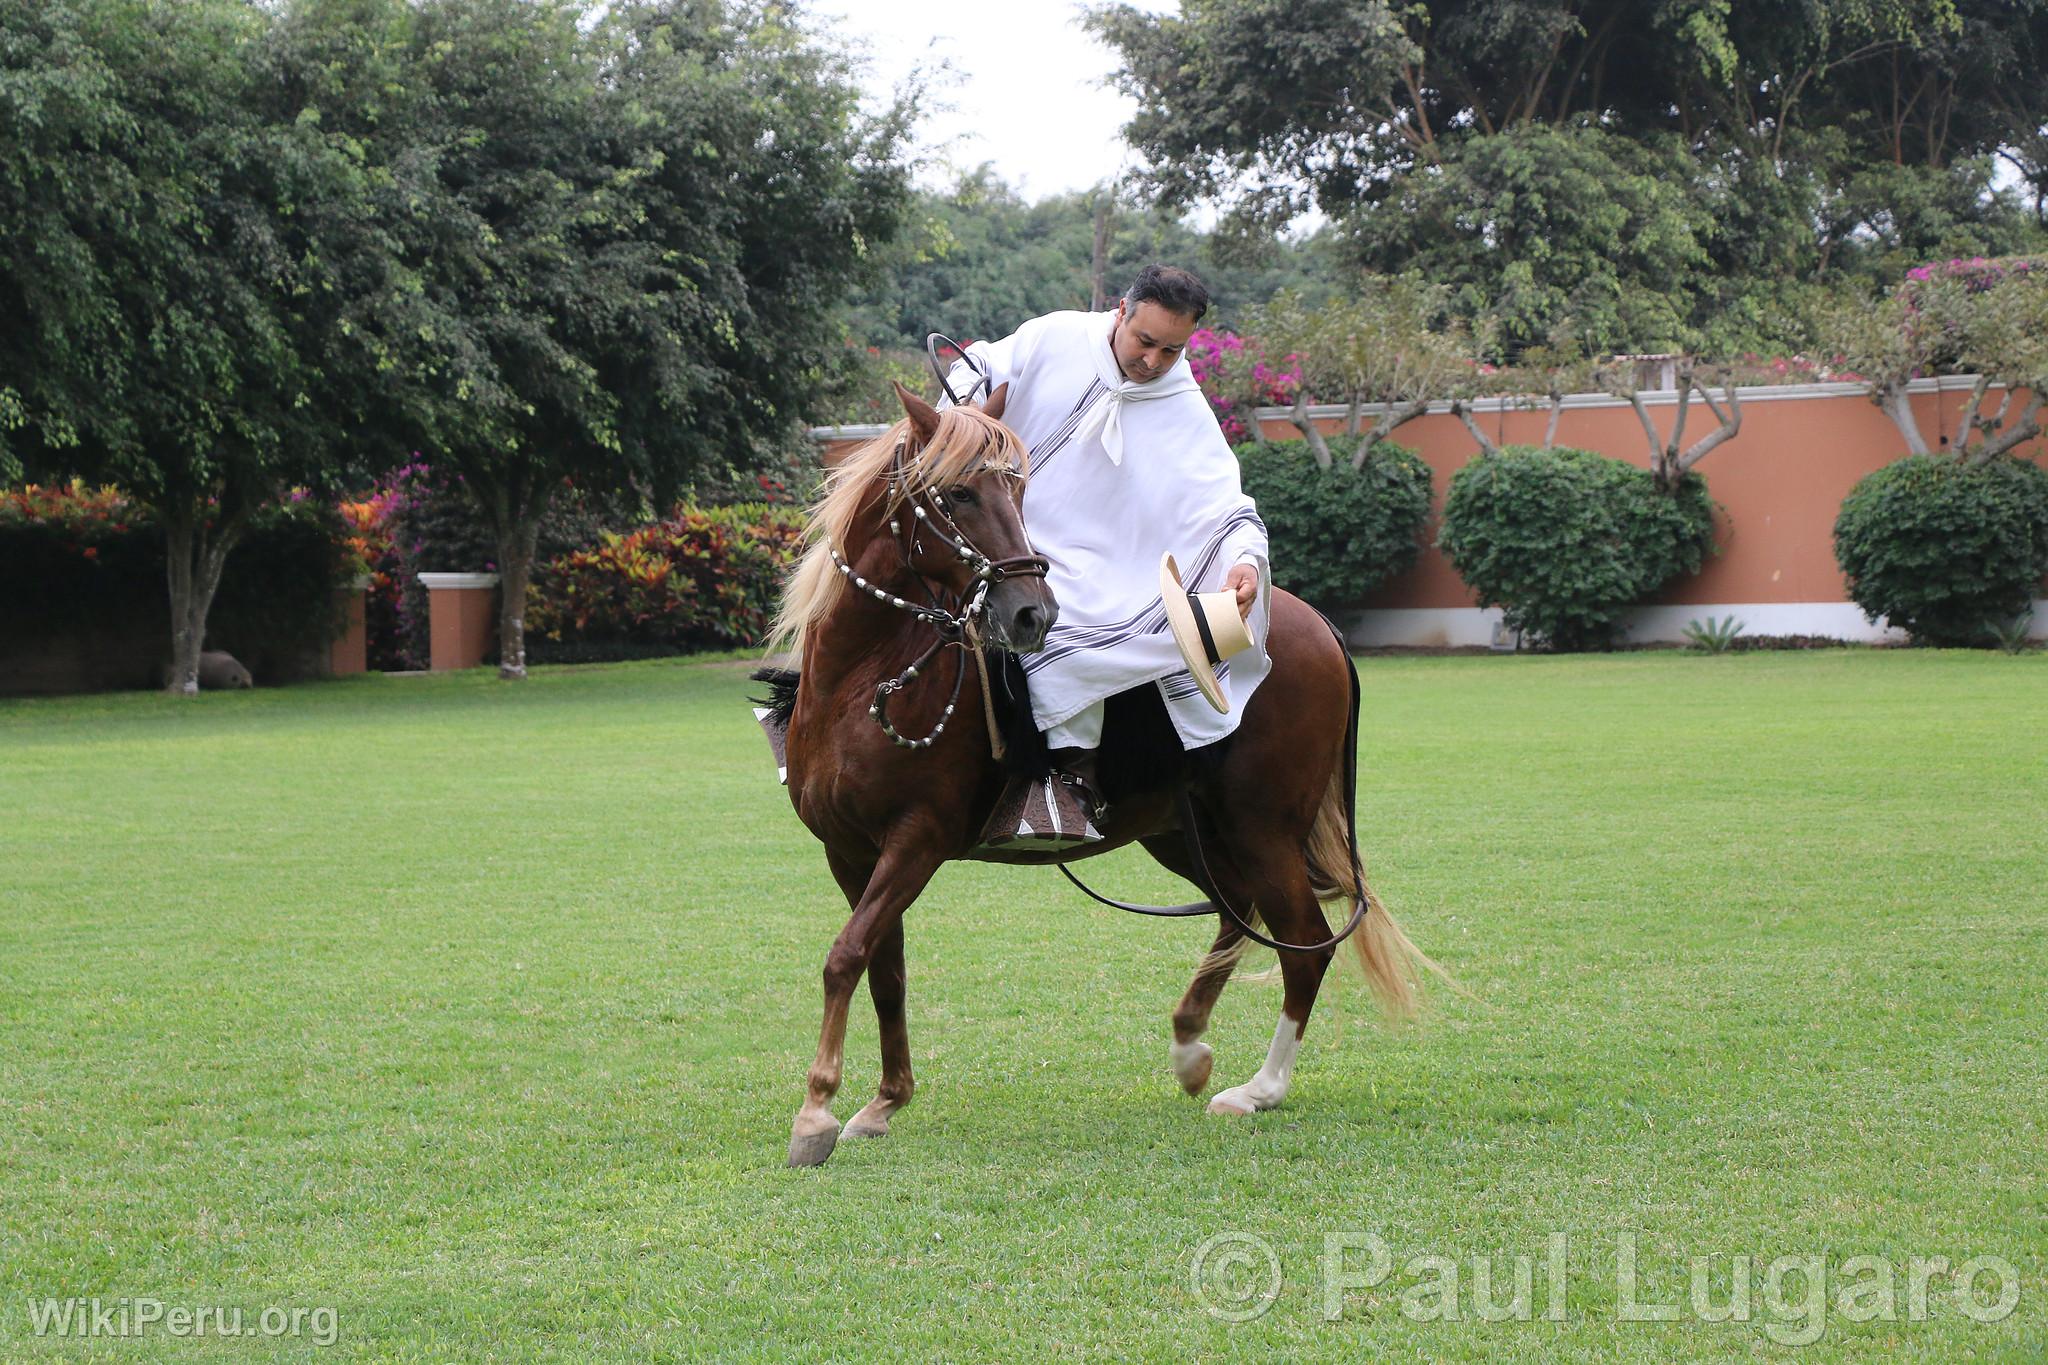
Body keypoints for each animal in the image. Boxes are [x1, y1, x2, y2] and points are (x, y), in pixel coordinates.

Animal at [761, 382, 1433, 1162]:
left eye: (1019, 488)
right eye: (958, 492)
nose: (1033, 613)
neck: (864, 677)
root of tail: (1319, 626)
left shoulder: (916, 840)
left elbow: (846, 956)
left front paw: (816, 1111)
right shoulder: (850, 851)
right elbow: (883, 966)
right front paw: (883, 1100)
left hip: (1262, 826)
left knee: (1302, 943)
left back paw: (1259, 1089)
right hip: (1187, 832)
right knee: (1239, 911)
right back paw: (1190, 1045)